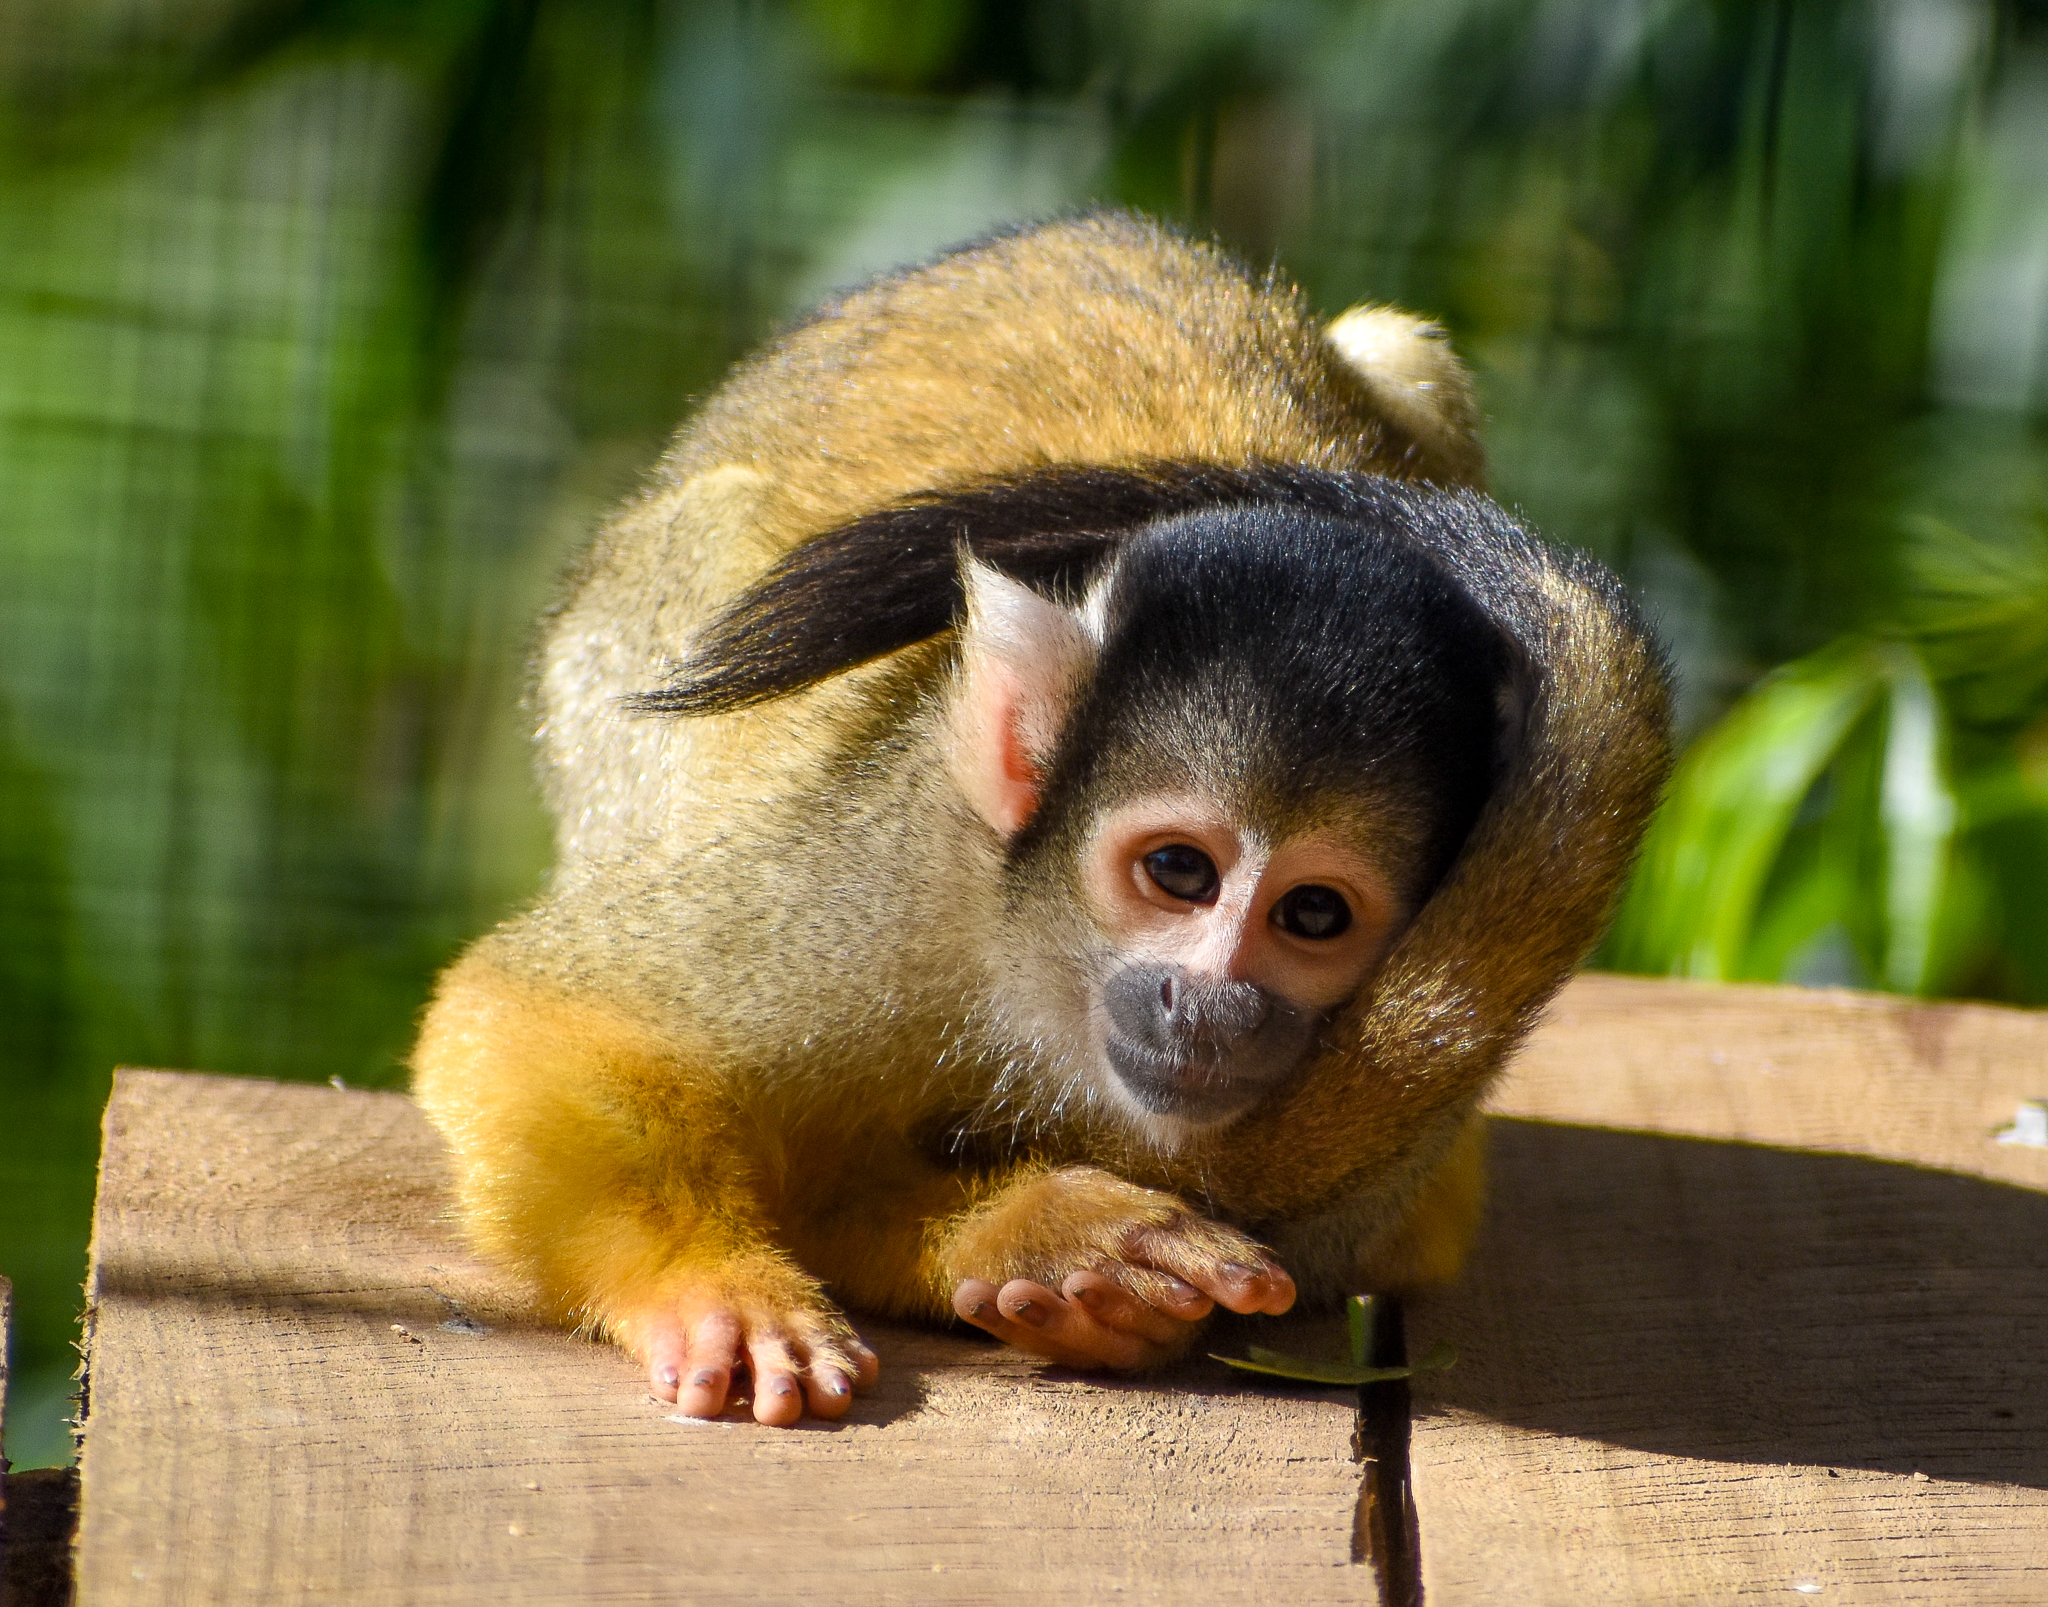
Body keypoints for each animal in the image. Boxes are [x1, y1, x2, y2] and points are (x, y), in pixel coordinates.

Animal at [410, 212, 1670, 1427]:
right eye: (1177, 871)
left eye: (1312, 914)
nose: (1208, 1006)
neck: (1044, 985)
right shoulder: (878, 864)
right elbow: (544, 1011)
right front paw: (715, 1289)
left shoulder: (1389, 1136)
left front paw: (1041, 1253)